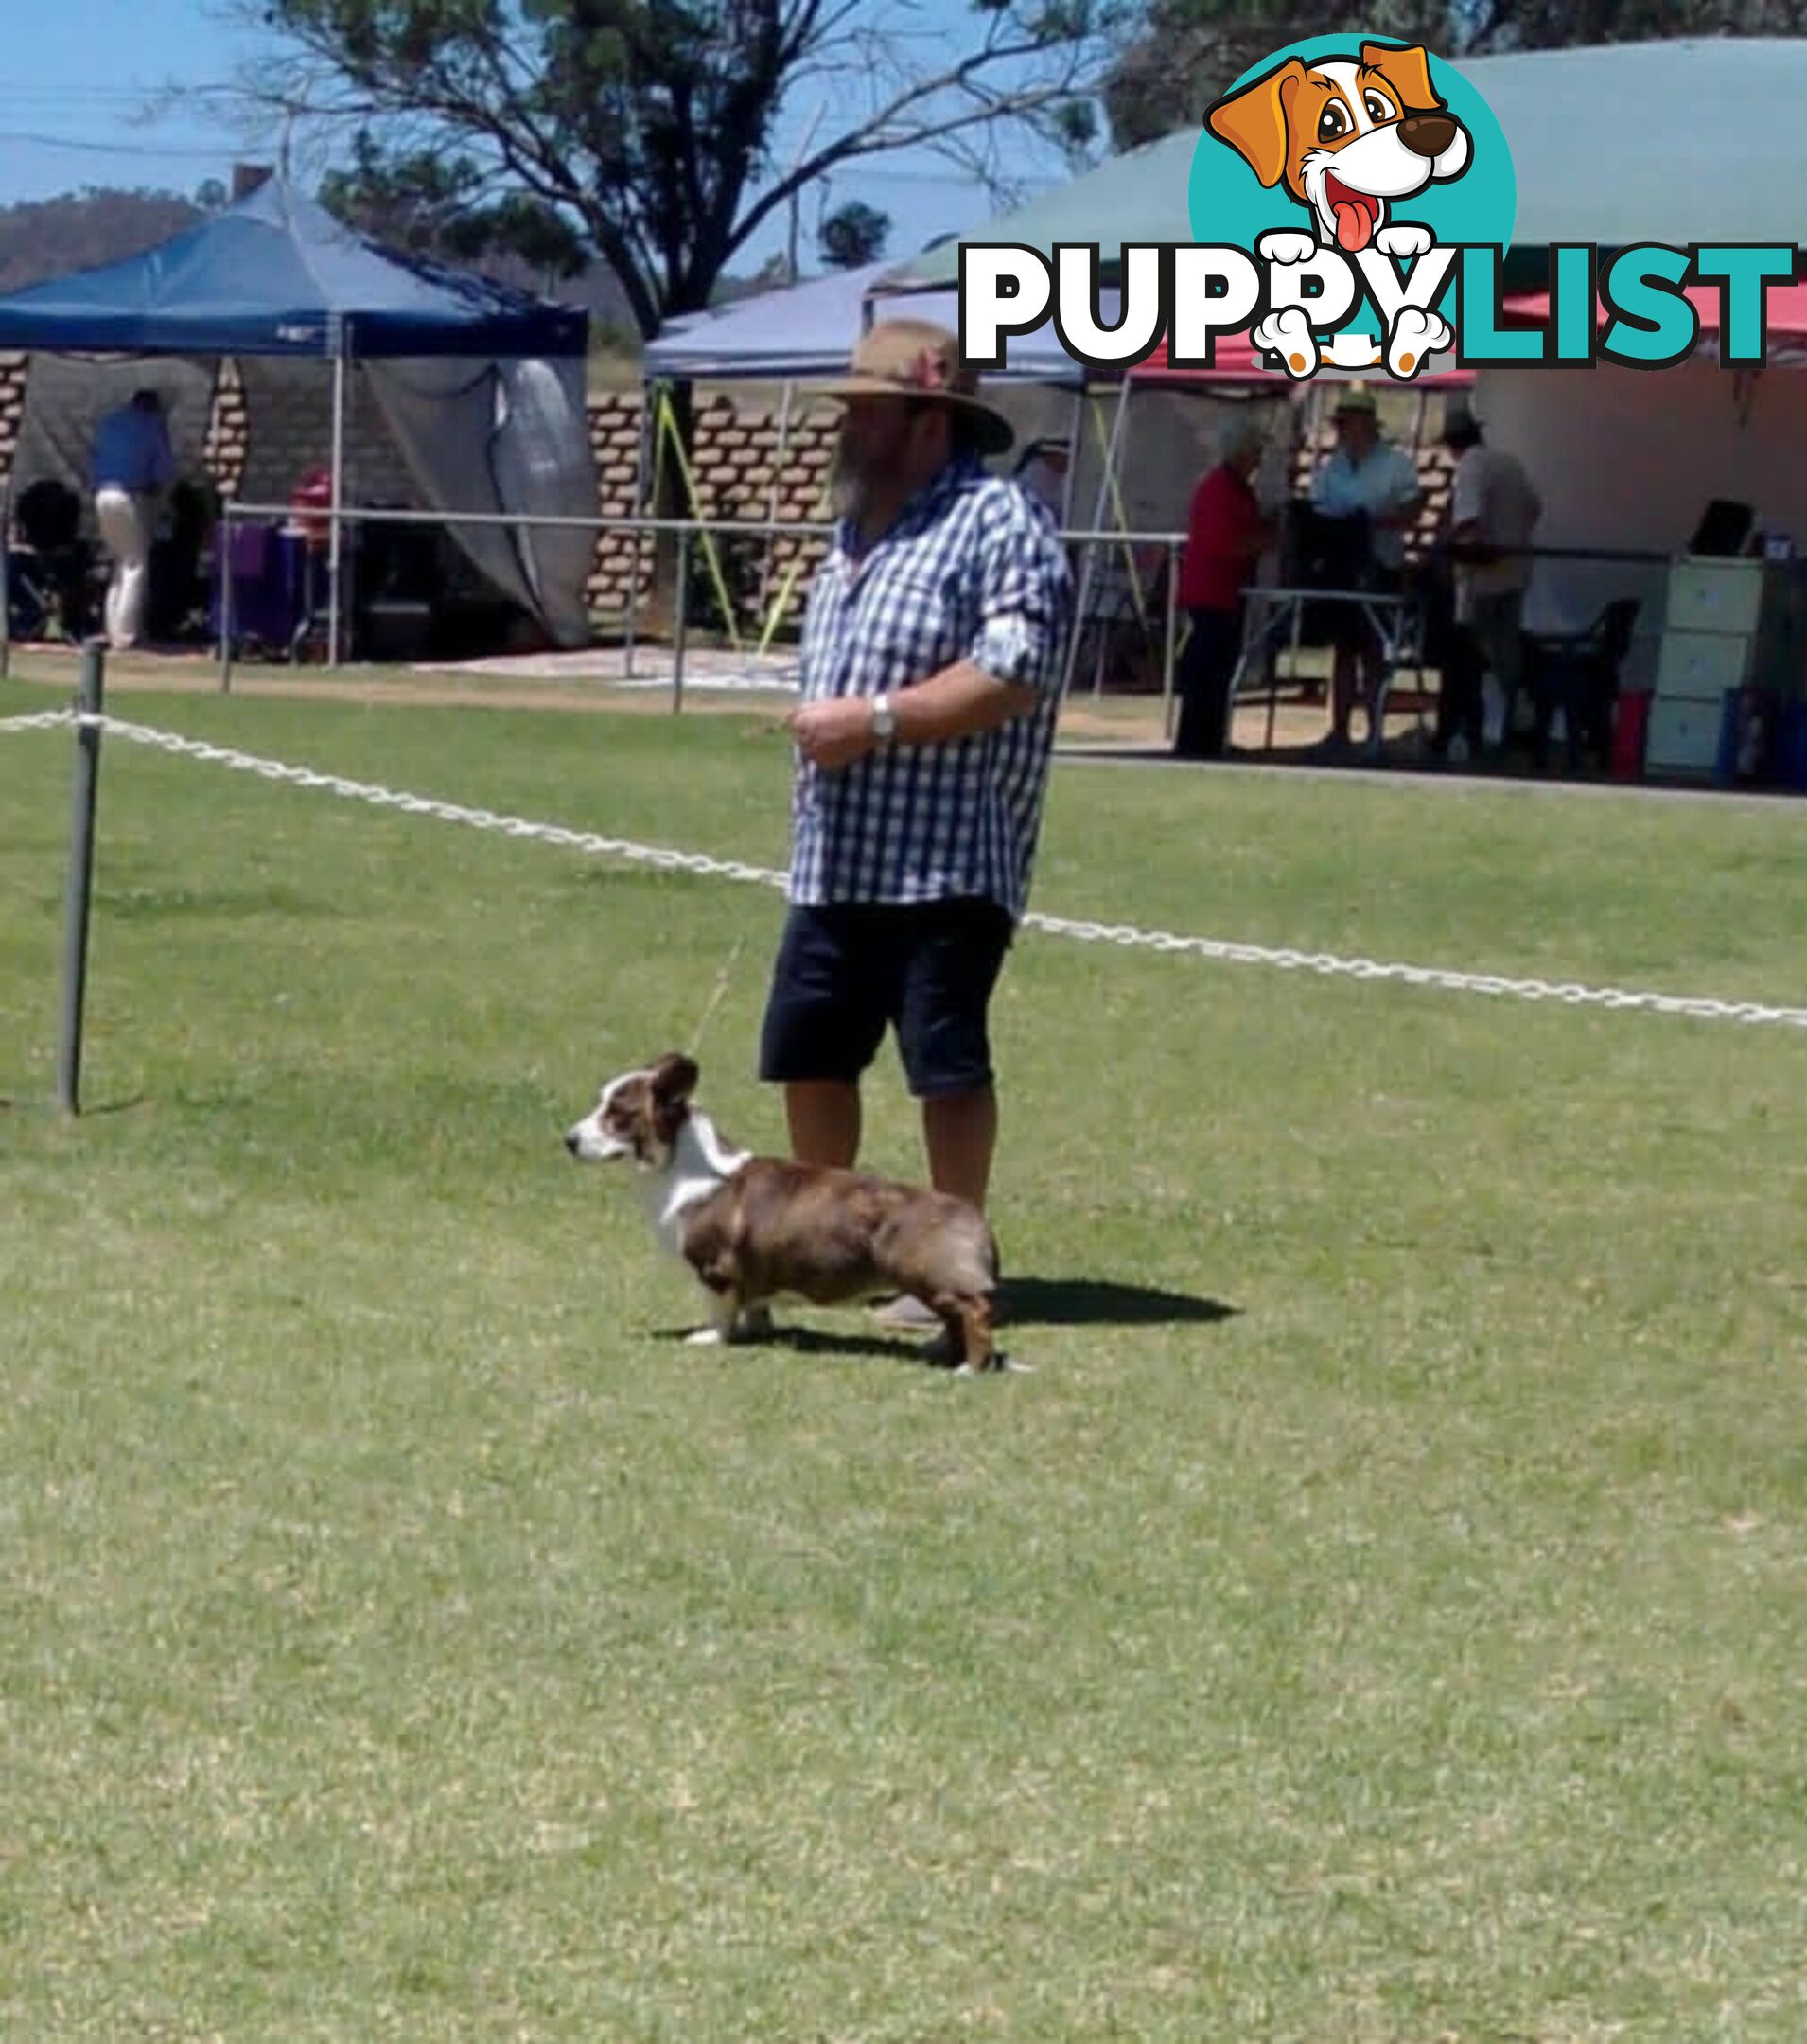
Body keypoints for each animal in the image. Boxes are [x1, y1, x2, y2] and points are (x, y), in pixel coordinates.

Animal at [560, 1054, 1001, 1373]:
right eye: (600, 1105)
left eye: (618, 1116)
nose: (568, 1140)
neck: (681, 1168)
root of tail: (973, 1217)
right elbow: (753, 1305)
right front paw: (756, 1331)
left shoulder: (714, 1269)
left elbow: (719, 1312)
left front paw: (710, 1338)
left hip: (928, 1277)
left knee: (975, 1312)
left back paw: (970, 1368)